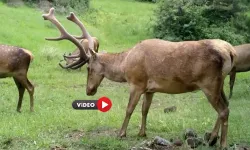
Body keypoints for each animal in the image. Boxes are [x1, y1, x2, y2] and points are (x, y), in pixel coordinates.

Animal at [42, 7, 236, 148]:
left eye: (89, 68)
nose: (89, 91)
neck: (125, 65)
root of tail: (231, 52)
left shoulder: (136, 82)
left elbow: (129, 109)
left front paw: (121, 133)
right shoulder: (150, 88)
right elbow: (145, 109)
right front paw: (142, 132)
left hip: (209, 83)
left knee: (223, 110)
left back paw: (222, 144)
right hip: (219, 83)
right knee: (226, 105)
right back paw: (212, 139)